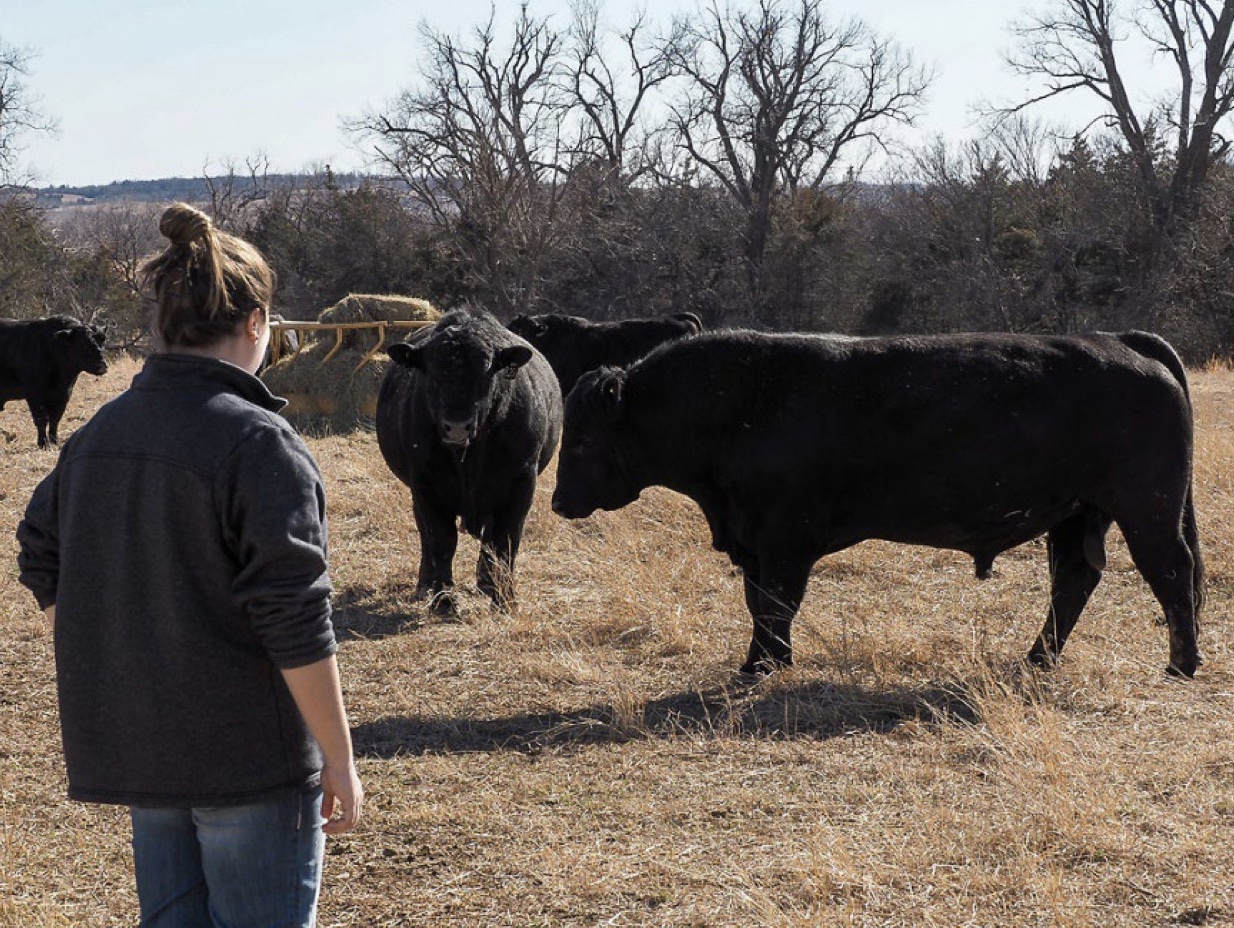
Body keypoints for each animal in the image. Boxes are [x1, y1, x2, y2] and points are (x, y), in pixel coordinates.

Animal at [0, 315, 108, 449]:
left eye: (103, 342)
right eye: (84, 344)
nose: (102, 366)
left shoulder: (64, 394)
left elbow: (55, 419)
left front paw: (54, 441)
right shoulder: (34, 396)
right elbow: (41, 419)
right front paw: (43, 444)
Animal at [375, 306, 565, 617]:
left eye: (487, 373)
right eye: (432, 373)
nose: (457, 427)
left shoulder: (522, 483)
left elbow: (505, 541)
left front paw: (504, 597)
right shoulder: (425, 485)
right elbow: (441, 540)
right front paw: (444, 601)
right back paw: (425, 584)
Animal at [552, 330, 1204, 676]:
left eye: (581, 439)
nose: (557, 503)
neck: (743, 403)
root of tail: (1119, 340)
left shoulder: (782, 540)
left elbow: (776, 602)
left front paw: (763, 665)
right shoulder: (756, 543)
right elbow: (759, 602)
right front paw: (765, 661)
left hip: (1146, 511)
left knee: (1172, 572)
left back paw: (1182, 663)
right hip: (1075, 515)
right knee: (1074, 580)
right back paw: (1036, 660)